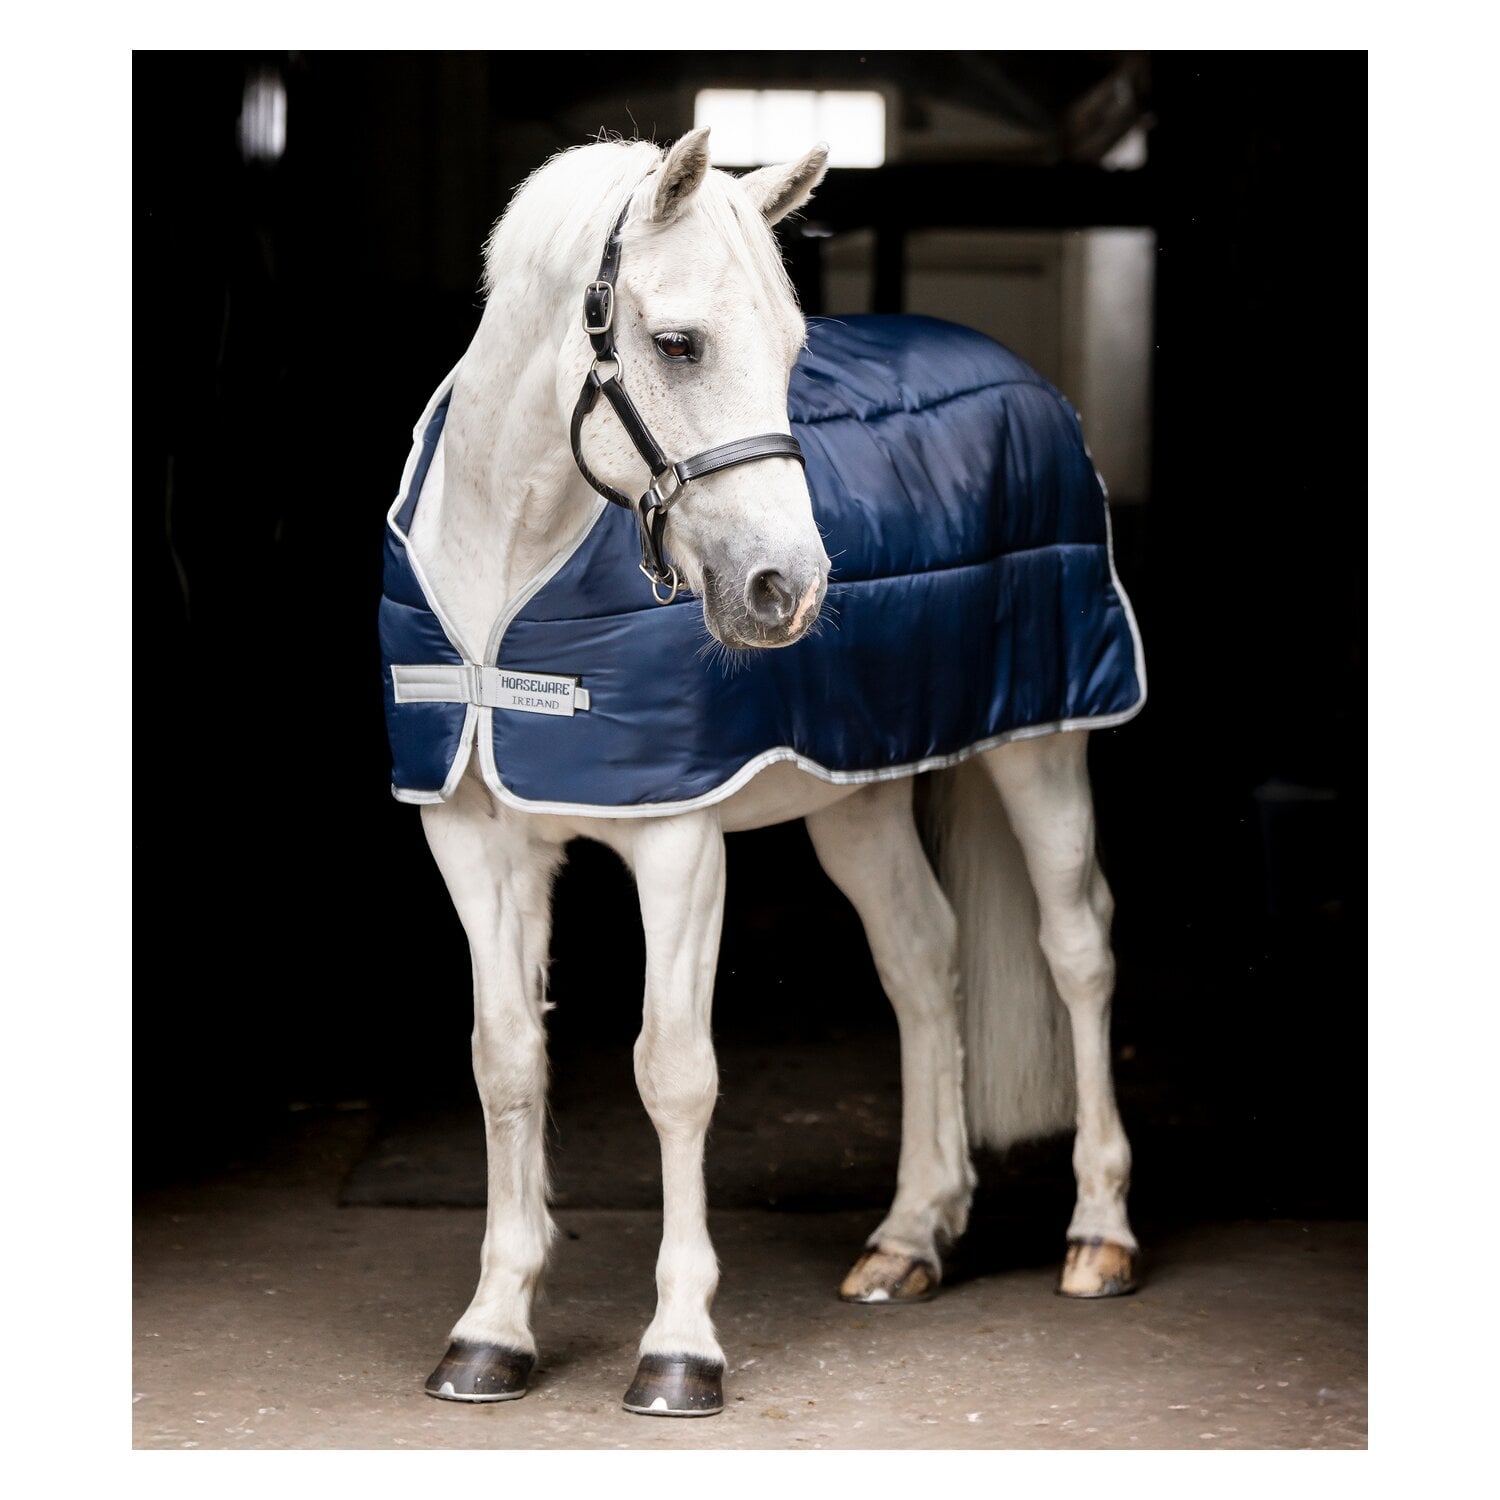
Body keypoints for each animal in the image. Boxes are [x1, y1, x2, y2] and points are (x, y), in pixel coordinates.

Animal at [380, 129, 1144, 1418]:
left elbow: (674, 1071)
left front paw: (680, 1348)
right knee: (922, 959)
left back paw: (1099, 1235)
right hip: (858, 797)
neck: (509, 572)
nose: (790, 590)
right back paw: (909, 1239)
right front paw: (491, 1331)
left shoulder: (677, 841)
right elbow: (506, 1059)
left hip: (1042, 743)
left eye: (793, 349)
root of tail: (1014, 373)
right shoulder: (473, 836)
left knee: (1077, 945)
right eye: (680, 343)